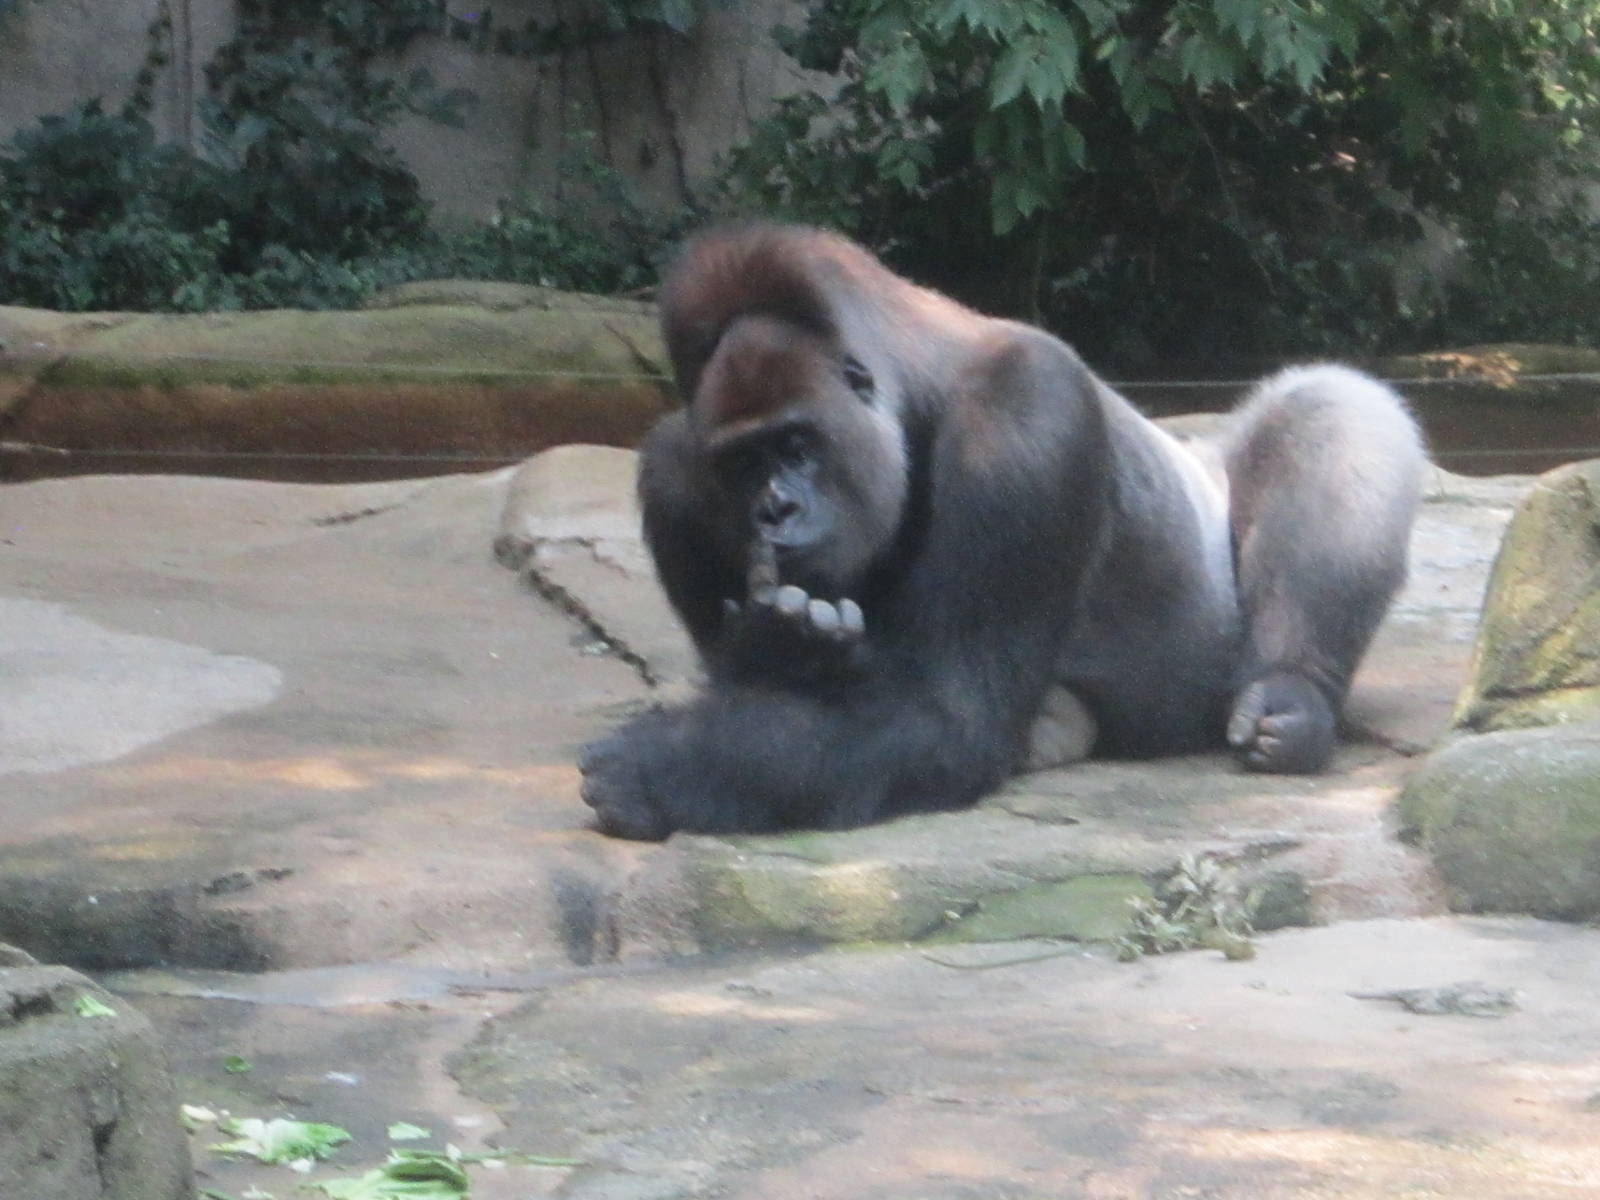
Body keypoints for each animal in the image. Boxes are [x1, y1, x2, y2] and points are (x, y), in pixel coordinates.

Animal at [578, 224, 1425, 840]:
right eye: (744, 462)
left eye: (795, 446)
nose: (774, 510)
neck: (915, 389)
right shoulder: (678, 465)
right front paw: (773, 653)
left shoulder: (1025, 419)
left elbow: (946, 717)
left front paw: (662, 769)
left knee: (1329, 408)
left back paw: (1294, 693)